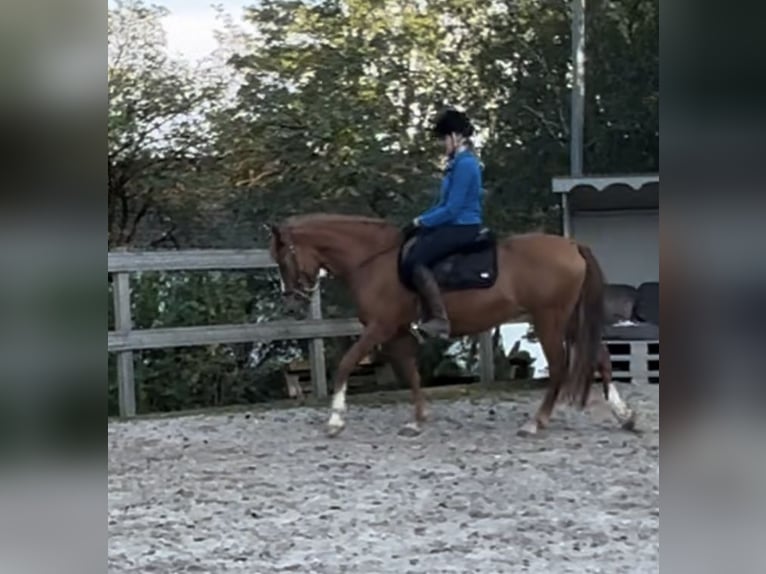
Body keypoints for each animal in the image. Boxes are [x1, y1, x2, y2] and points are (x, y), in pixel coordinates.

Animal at [268, 215, 640, 436]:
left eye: (284, 258)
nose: (292, 302)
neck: (375, 260)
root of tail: (572, 245)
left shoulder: (379, 327)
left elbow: (346, 364)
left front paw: (335, 418)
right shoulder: (396, 331)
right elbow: (410, 373)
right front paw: (418, 419)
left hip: (550, 318)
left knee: (561, 365)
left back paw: (536, 422)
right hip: (571, 319)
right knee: (601, 357)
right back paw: (624, 416)